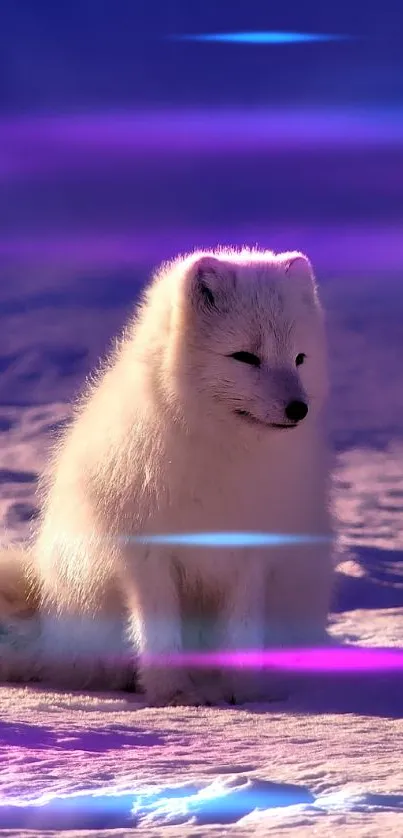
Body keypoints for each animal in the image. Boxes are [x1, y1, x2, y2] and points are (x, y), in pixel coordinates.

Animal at [0, 246, 332, 704]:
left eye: (299, 358)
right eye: (246, 357)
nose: (298, 409)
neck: (222, 454)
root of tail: (49, 634)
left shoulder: (252, 556)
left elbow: (242, 631)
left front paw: (242, 693)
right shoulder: (147, 556)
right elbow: (158, 632)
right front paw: (172, 693)